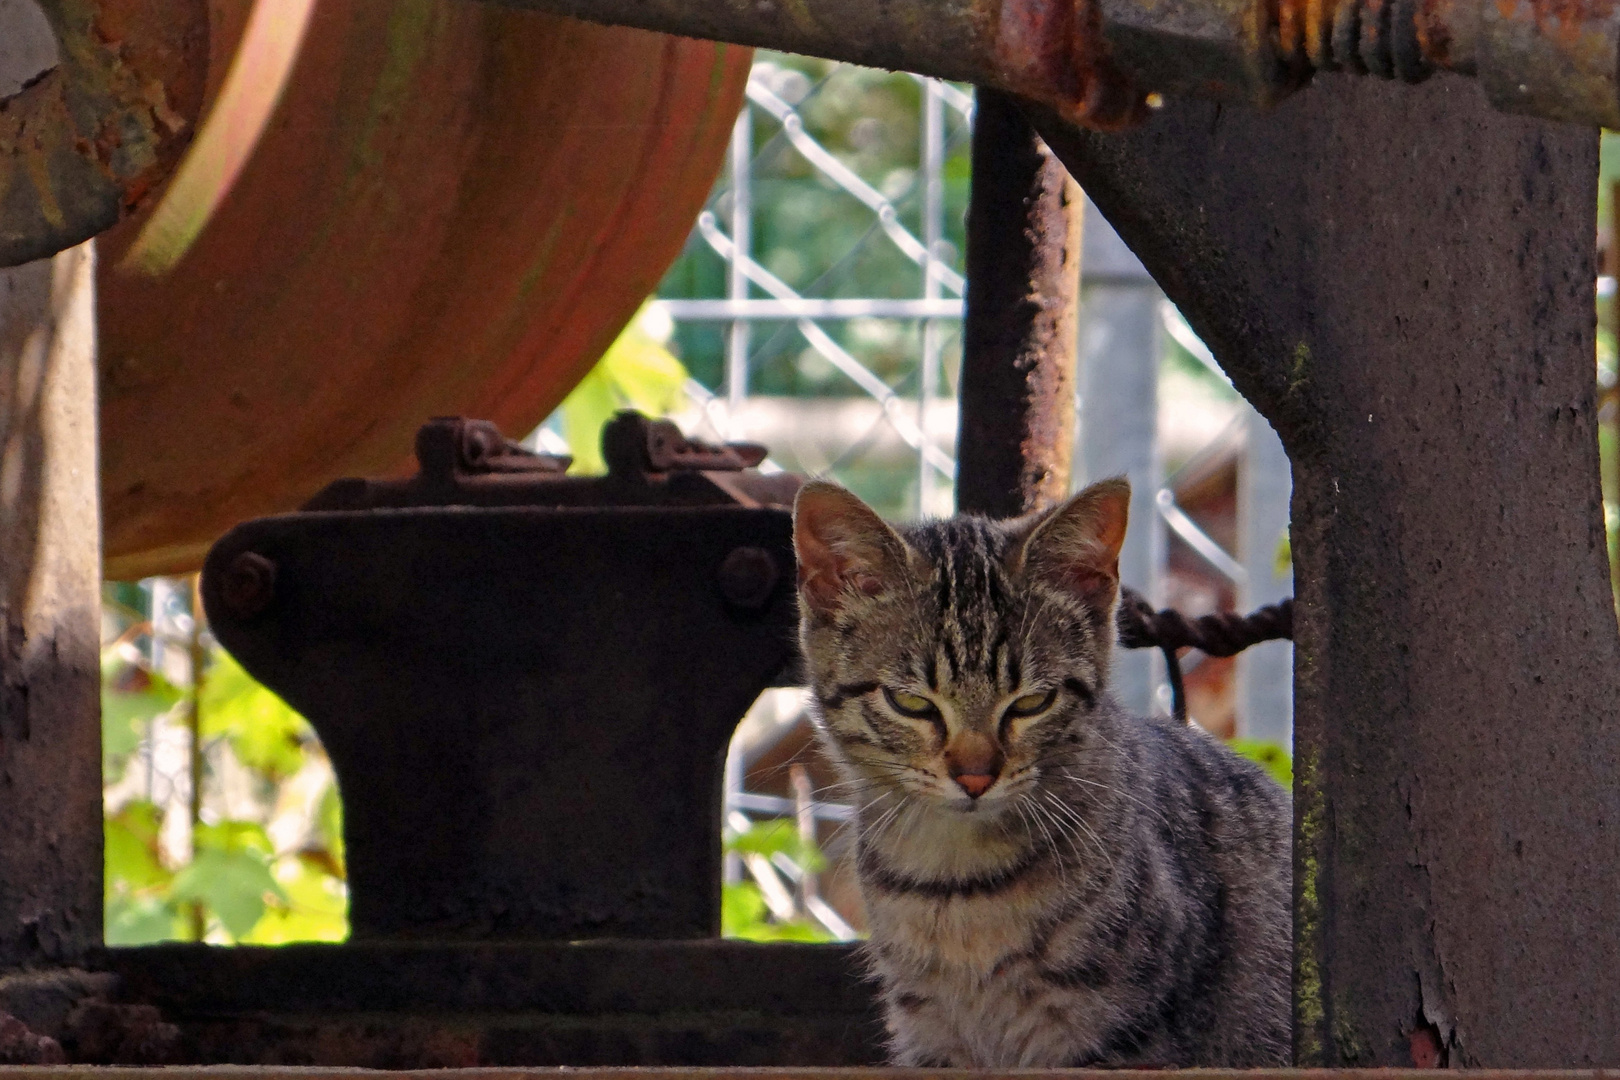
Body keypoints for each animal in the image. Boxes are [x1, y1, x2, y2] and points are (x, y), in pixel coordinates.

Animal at [793, 476, 1289, 1068]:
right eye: (911, 703)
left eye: (1032, 703)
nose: (975, 776)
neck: (956, 885)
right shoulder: (930, 1034)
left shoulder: (1114, 1038)